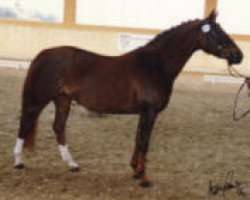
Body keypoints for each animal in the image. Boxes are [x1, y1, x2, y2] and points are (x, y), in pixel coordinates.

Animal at [13, 10, 242, 187]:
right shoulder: (150, 111)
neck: (155, 65)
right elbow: (145, 142)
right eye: (218, 33)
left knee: (58, 128)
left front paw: (135, 171)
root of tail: (43, 54)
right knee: (25, 123)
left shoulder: (144, 112)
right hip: (39, 100)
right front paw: (144, 178)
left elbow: (138, 139)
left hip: (63, 101)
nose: (239, 56)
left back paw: (72, 165)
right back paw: (18, 162)